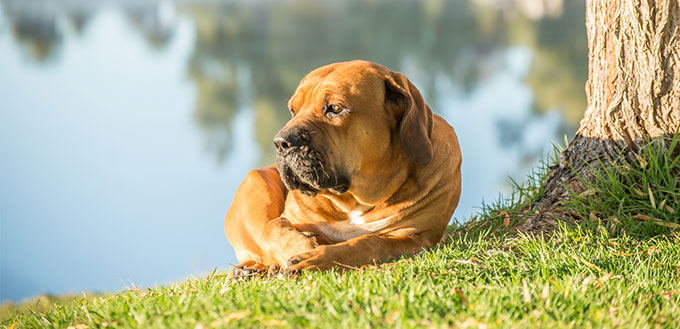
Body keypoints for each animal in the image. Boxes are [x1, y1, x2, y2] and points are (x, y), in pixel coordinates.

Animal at [224, 59, 462, 272]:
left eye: (335, 108)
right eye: (293, 110)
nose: (281, 142)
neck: (355, 201)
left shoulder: (416, 237)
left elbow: (368, 242)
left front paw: (316, 257)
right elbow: (273, 227)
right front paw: (299, 246)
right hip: (256, 181)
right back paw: (249, 270)